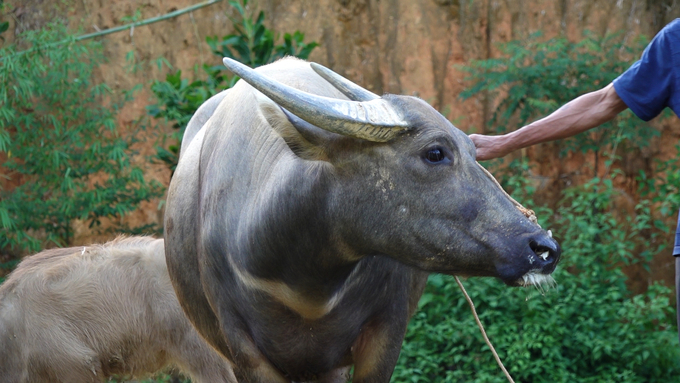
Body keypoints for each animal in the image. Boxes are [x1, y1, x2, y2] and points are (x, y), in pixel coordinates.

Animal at [163, 57, 556, 383]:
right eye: (435, 152)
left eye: (474, 151)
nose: (544, 247)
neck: (306, 280)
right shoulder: (243, 351)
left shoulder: (385, 336)